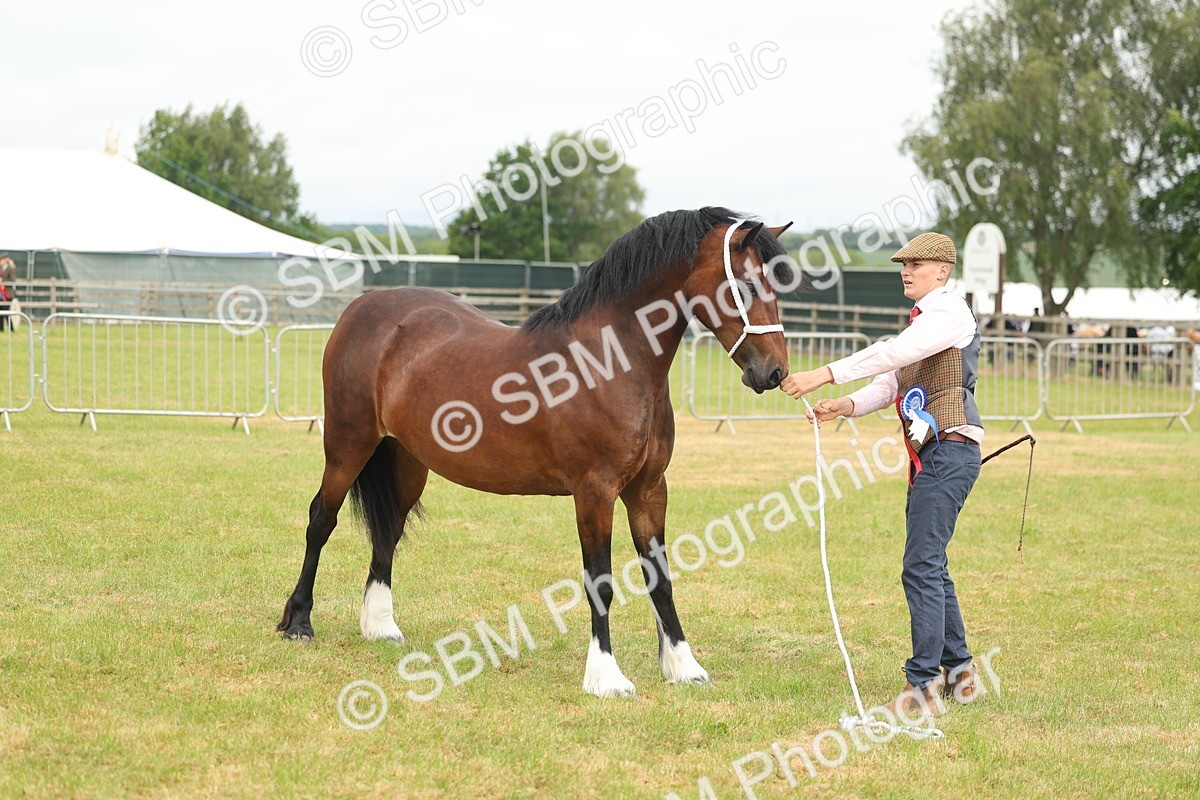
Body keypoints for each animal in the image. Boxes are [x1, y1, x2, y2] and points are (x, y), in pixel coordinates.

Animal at [276, 207, 796, 697]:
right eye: (746, 286)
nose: (774, 373)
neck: (610, 362)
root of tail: (361, 308)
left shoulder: (649, 490)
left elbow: (660, 576)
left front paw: (683, 667)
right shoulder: (594, 492)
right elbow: (600, 580)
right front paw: (606, 678)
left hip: (406, 462)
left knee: (387, 532)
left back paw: (380, 626)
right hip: (348, 445)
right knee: (321, 519)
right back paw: (298, 621)